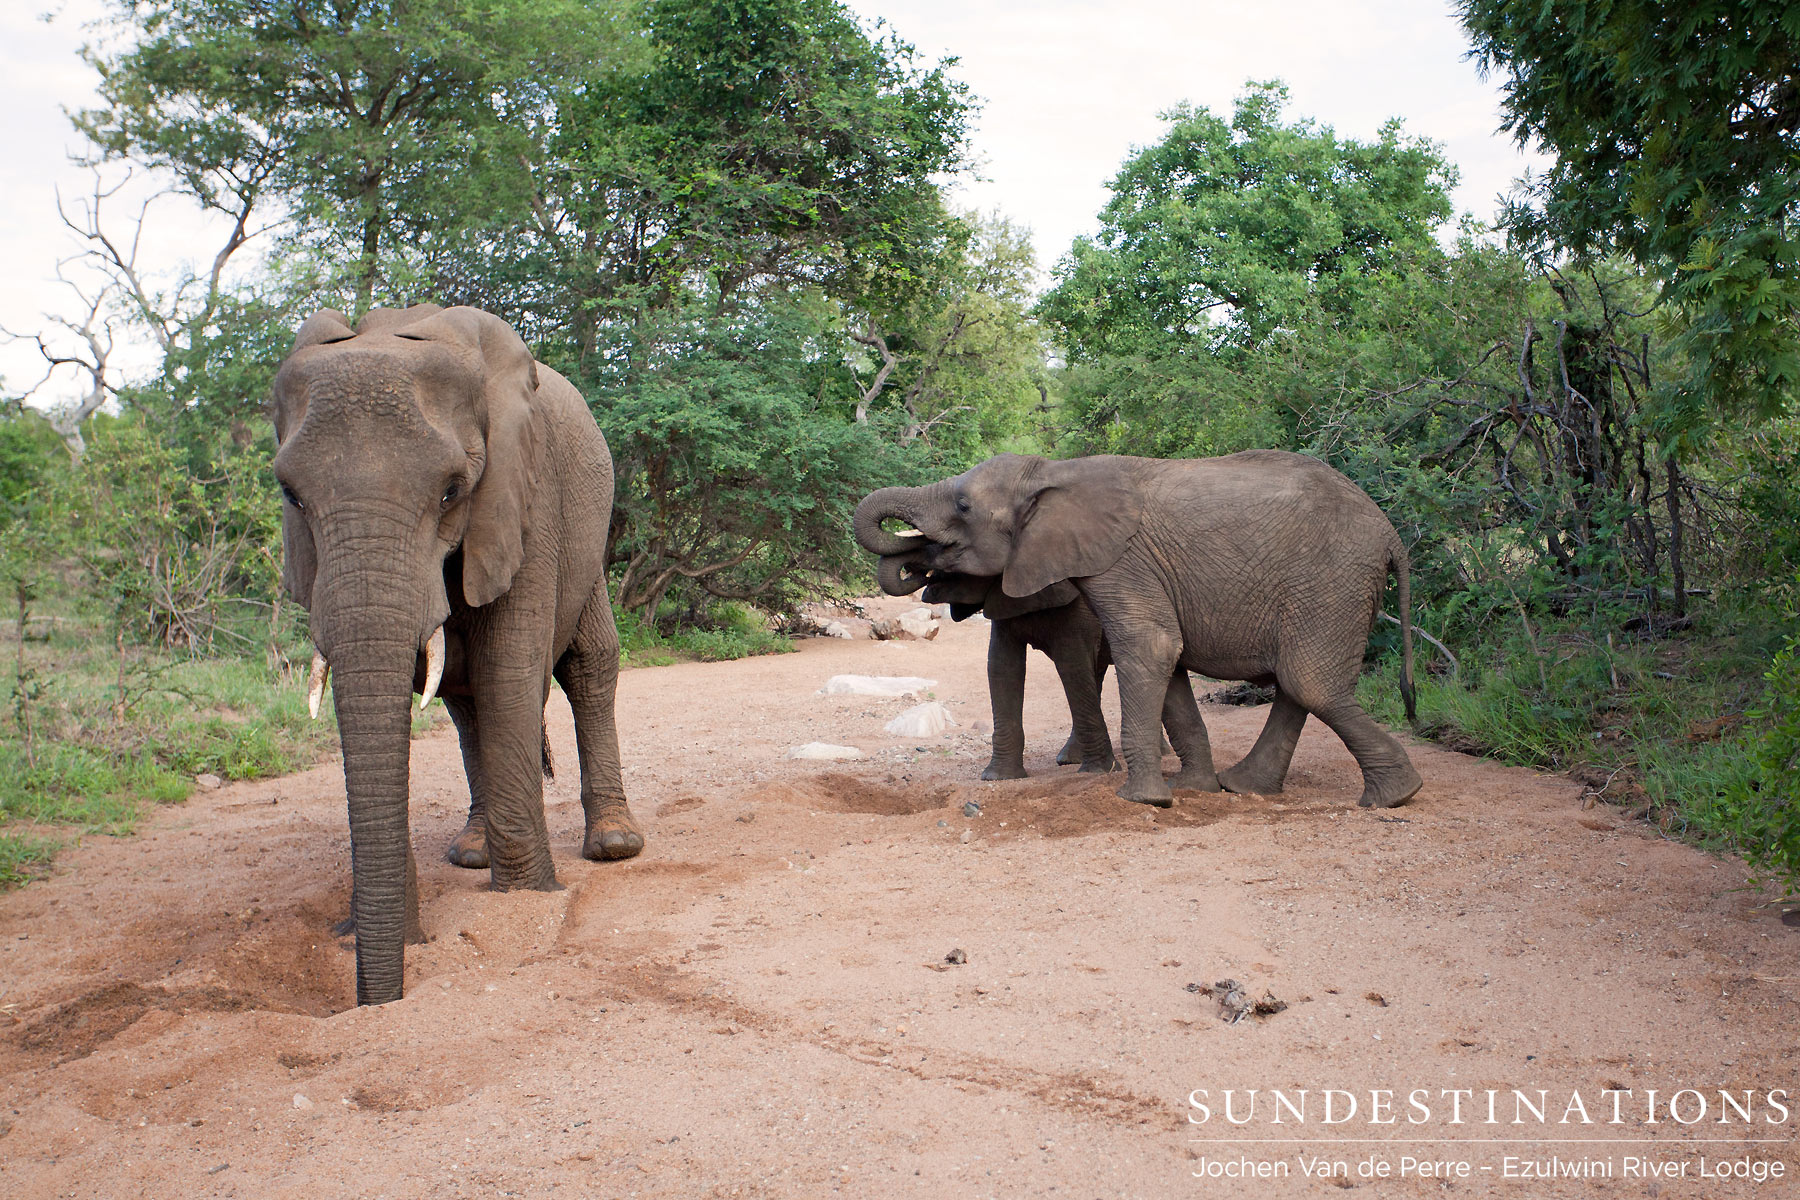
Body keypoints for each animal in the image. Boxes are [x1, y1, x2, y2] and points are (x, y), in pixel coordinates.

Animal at [273, 302, 648, 1007]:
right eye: (290, 496)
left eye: (452, 491)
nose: (378, 1003)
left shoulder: (527, 493)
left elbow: (511, 671)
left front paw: (527, 900)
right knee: (463, 700)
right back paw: (471, 855)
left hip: (589, 539)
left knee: (590, 665)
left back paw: (614, 845)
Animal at [856, 453, 1418, 816]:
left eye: (963, 506)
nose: (918, 564)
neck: (1053, 473)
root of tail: (1391, 532)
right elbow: (1008, 666)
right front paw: (1190, 789)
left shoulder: (1120, 563)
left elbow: (1144, 648)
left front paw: (1136, 796)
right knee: (1297, 682)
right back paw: (1245, 788)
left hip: (1331, 581)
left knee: (1307, 681)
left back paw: (1394, 797)